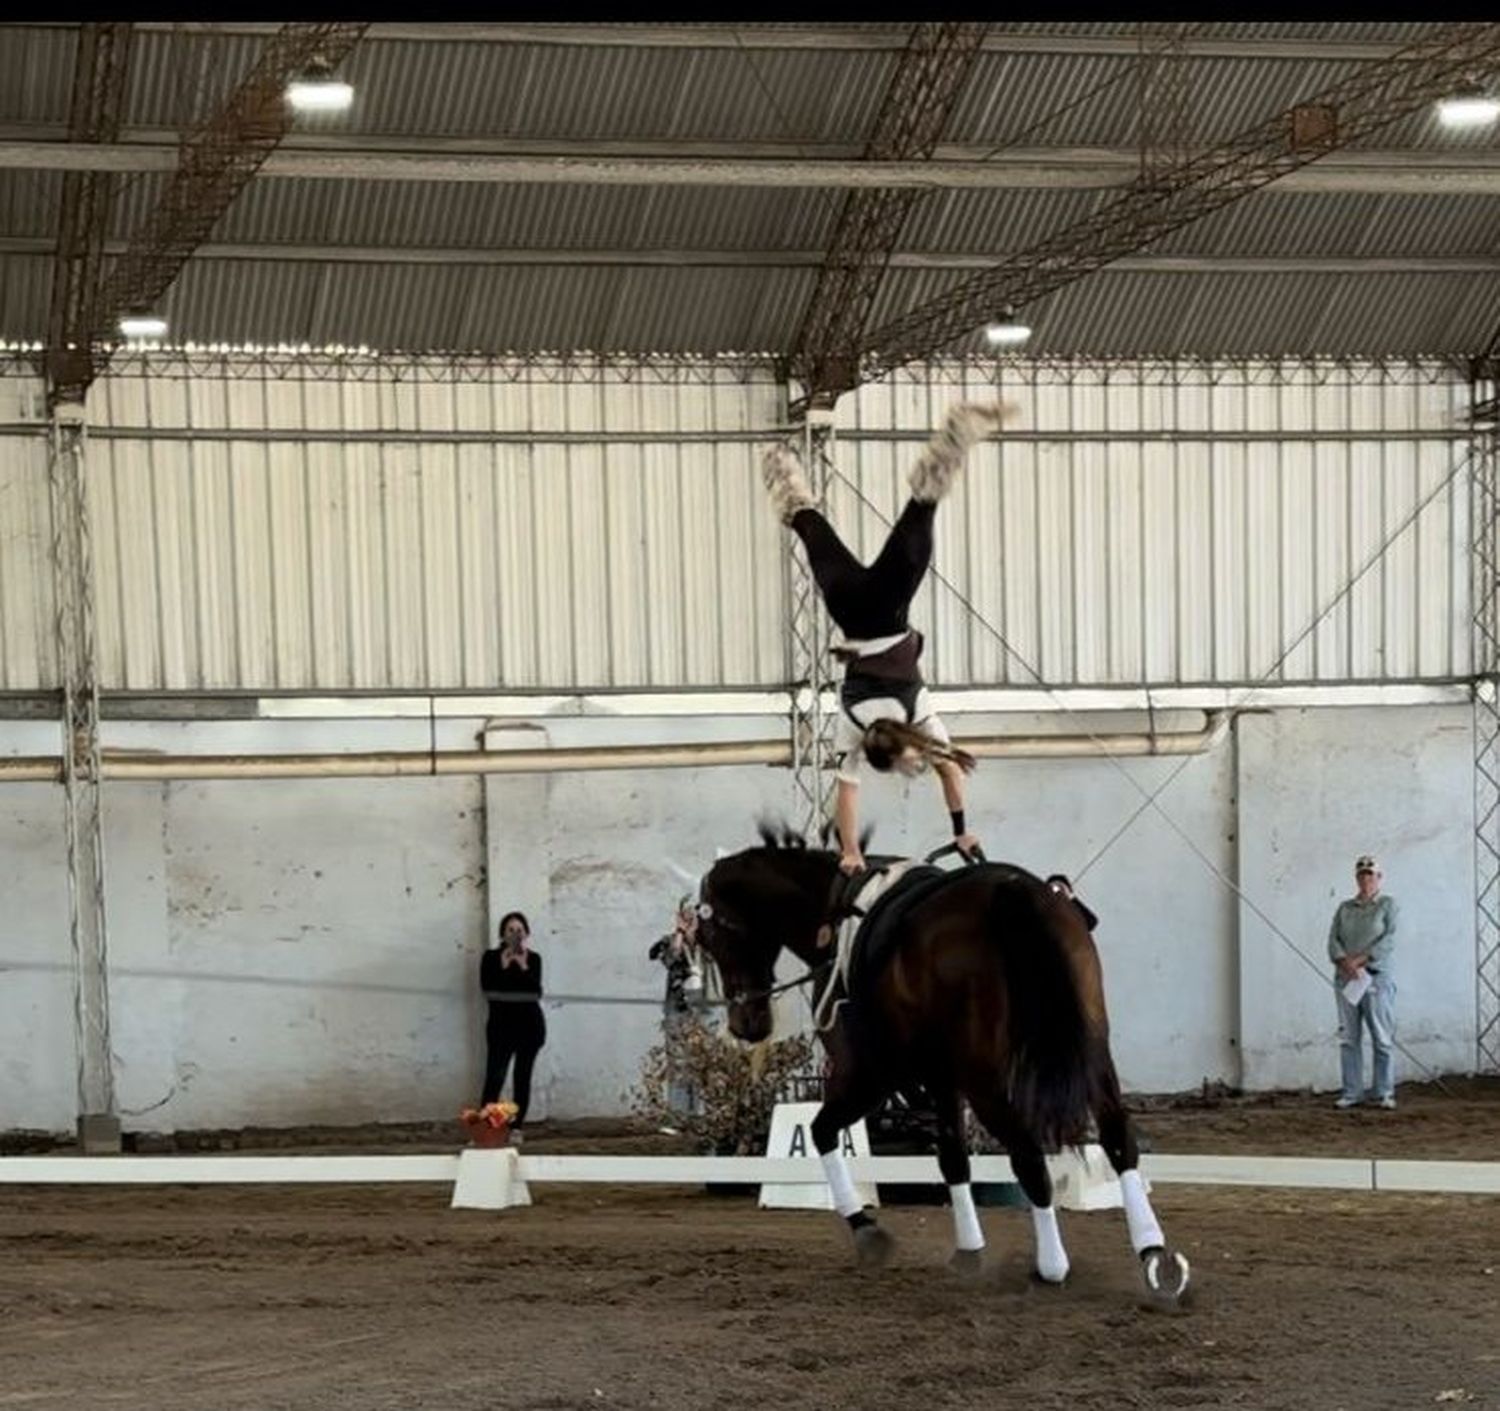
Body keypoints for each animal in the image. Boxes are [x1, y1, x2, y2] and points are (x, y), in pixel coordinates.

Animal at [696, 827, 1188, 1301]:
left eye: (710, 937)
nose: (746, 1024)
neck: (833, 913)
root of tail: (1010, 892)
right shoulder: (940, 1078)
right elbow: (953, 1157)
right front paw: (969, 1251)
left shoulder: (872, 1075)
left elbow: (822, 1132)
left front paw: (867, 1229)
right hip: (1091, 1053)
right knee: (1116, 1138)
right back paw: (1152, 1253)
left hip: (983, 1079)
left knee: (1029, 1157)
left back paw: (1052, 1267)